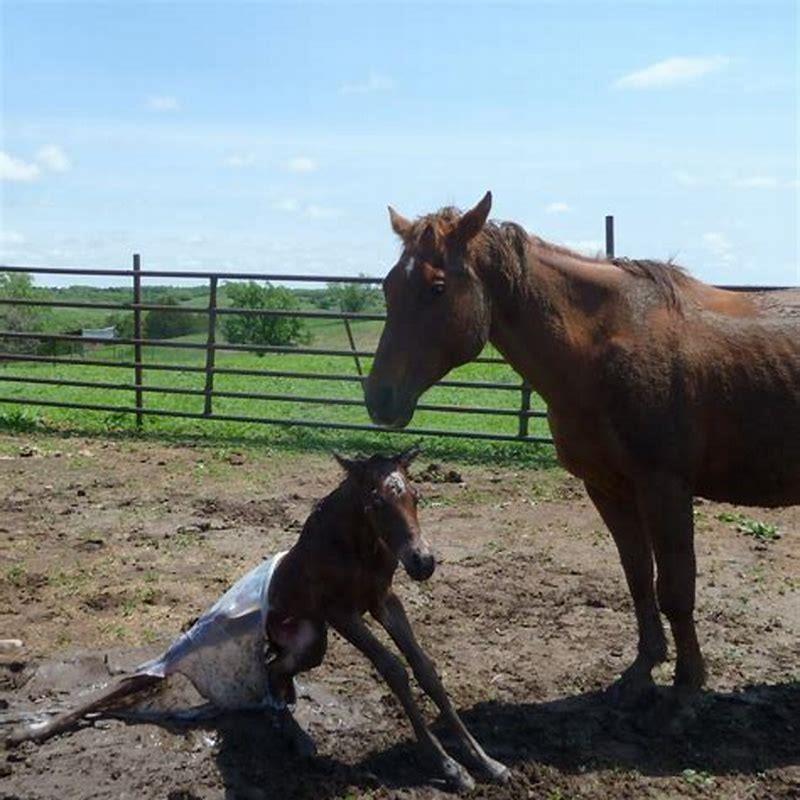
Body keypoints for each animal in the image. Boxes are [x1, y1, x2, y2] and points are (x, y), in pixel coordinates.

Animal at [8, 447, 508, 793]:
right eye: (375, 504)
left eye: (417, 496)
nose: (423, 562)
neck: (352, 549)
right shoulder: (343, 612)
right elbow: (395, 670)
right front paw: (451, 769)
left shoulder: (384, 602)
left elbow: (425, 668)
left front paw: (487, 763)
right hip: (294, 638)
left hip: (310, 641)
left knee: (272, 675)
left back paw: (296, 732)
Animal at [365, 192, 800, 708]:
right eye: (389, 285)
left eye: (436, 287)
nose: (379, 399)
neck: (603, 348)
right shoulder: (608, 488)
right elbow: (638, 576)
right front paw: (643, 668)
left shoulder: (665, 487)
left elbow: (676, 586)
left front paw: (688, 682)